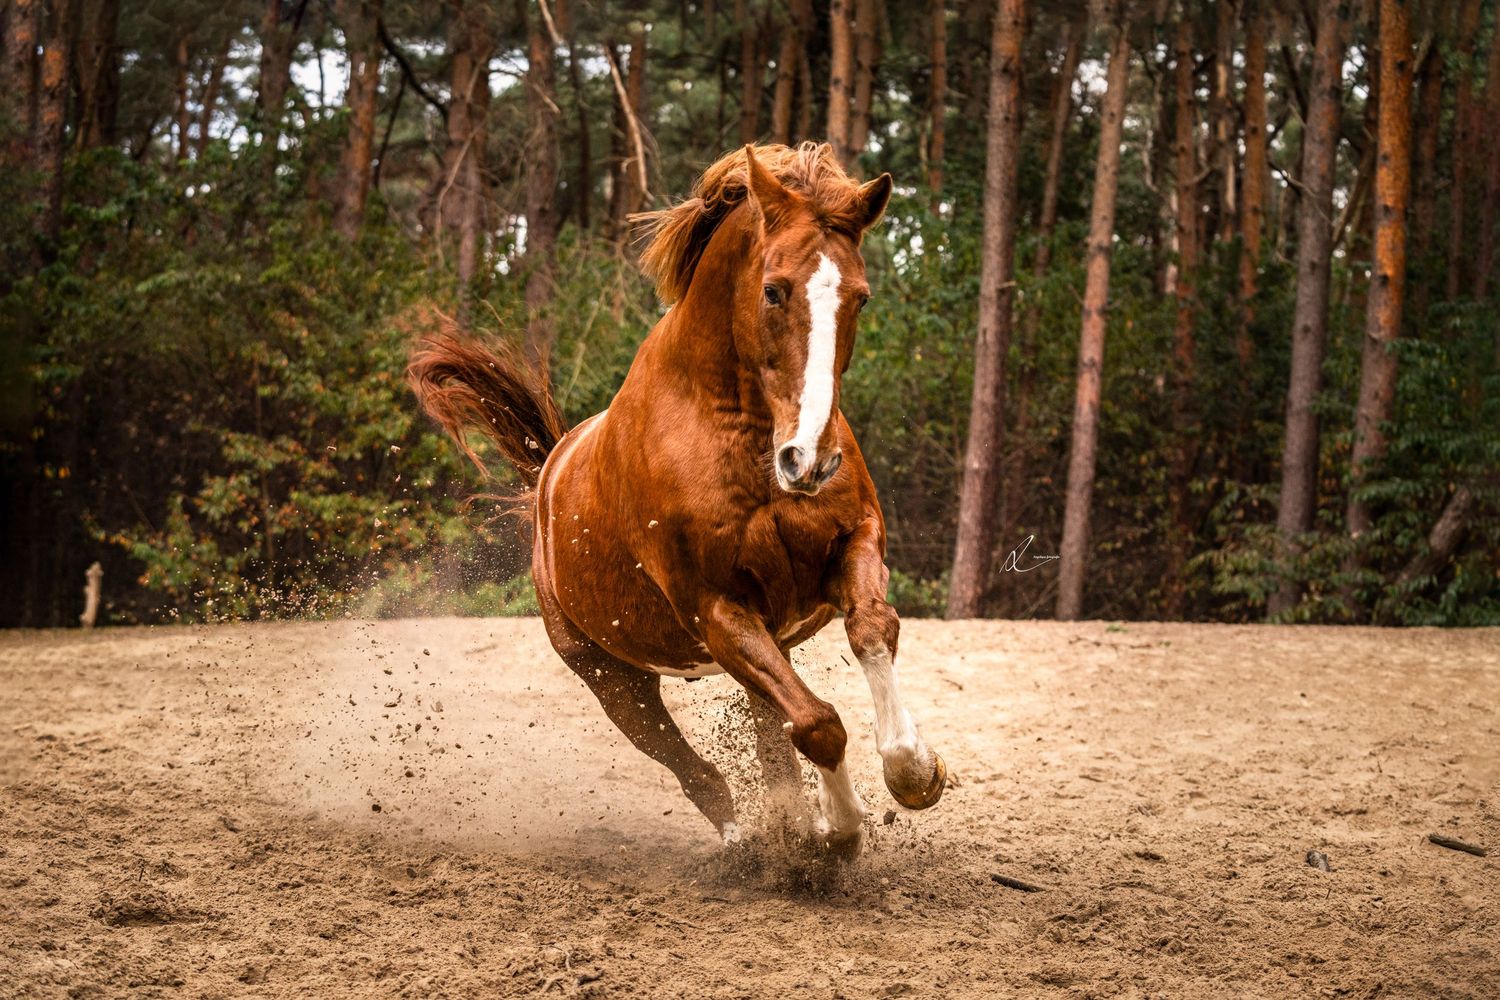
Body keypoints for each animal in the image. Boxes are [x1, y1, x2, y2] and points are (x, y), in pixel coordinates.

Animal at [408, 142, 945, 857]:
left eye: (860, 297)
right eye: (773, 290)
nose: (811, 460)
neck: (740, 434)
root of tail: (548, 473)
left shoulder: (852, 542)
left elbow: (871, 631)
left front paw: (914, 772)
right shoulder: (715, 610)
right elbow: (819, 724)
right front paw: (841, 831)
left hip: (759, 647)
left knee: (773, 740)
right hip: (616, 681)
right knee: (701, 773)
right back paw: (754, 844)